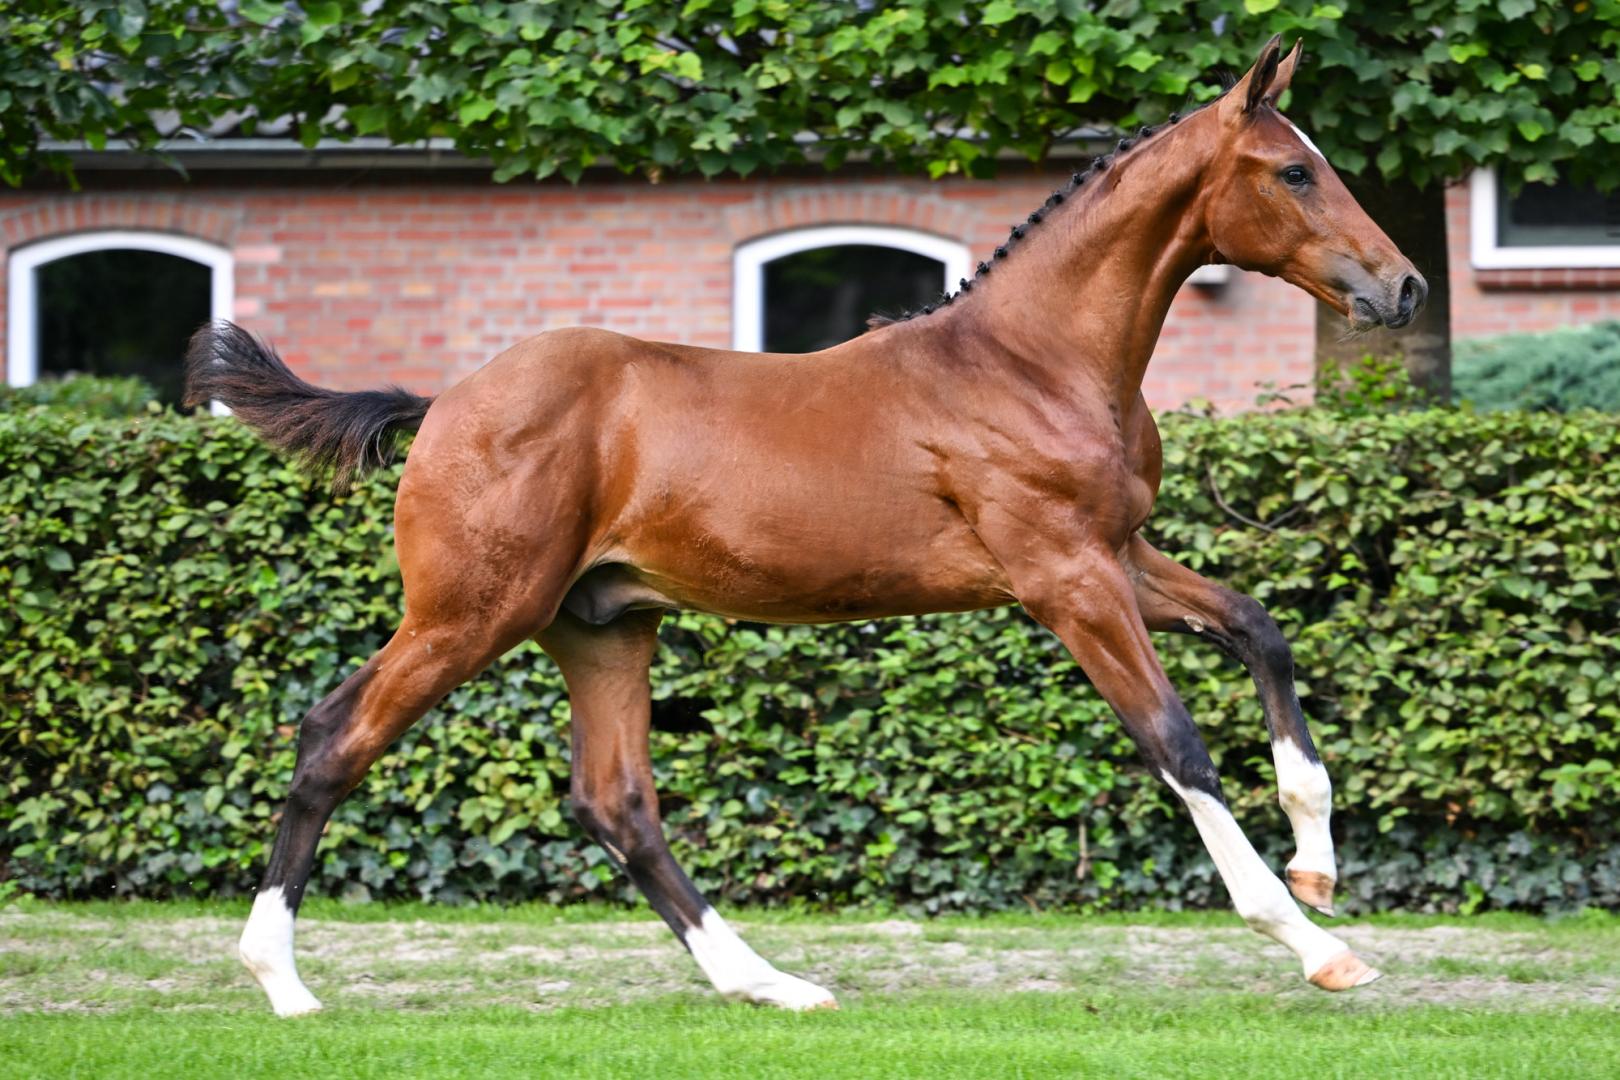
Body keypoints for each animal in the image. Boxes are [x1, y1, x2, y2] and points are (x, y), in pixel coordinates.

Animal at [186, 36, 1425, 1017]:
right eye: (1294, 170)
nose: (1405, 287)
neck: (1035, 361)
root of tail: (441, 403)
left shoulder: (1118, 555)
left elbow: (1260, 626)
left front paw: (1318, 863)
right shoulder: (1064, 577)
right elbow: (1175, 741)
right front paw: (1314, 944)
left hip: (600, 624)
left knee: (617, 801)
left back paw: (768, 983)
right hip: (469, 614)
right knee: (334, 736)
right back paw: (282, 982)